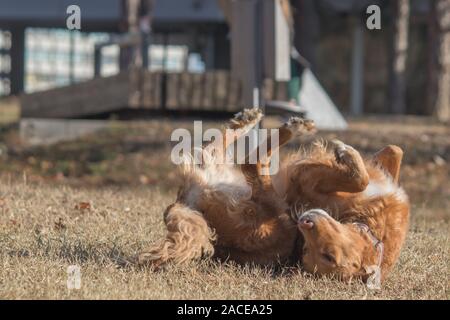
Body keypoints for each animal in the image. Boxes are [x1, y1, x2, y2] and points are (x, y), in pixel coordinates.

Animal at [139, 109, 410, 284]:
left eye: (327, 255)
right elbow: (389, 154)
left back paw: (288, 127)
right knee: (219, 150)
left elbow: (359, 177)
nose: (305, 221)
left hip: (271, 207)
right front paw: (348, 156)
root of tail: (186, 204)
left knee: (246, 161)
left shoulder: (303, 180)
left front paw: (344, 154)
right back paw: (258, 120)